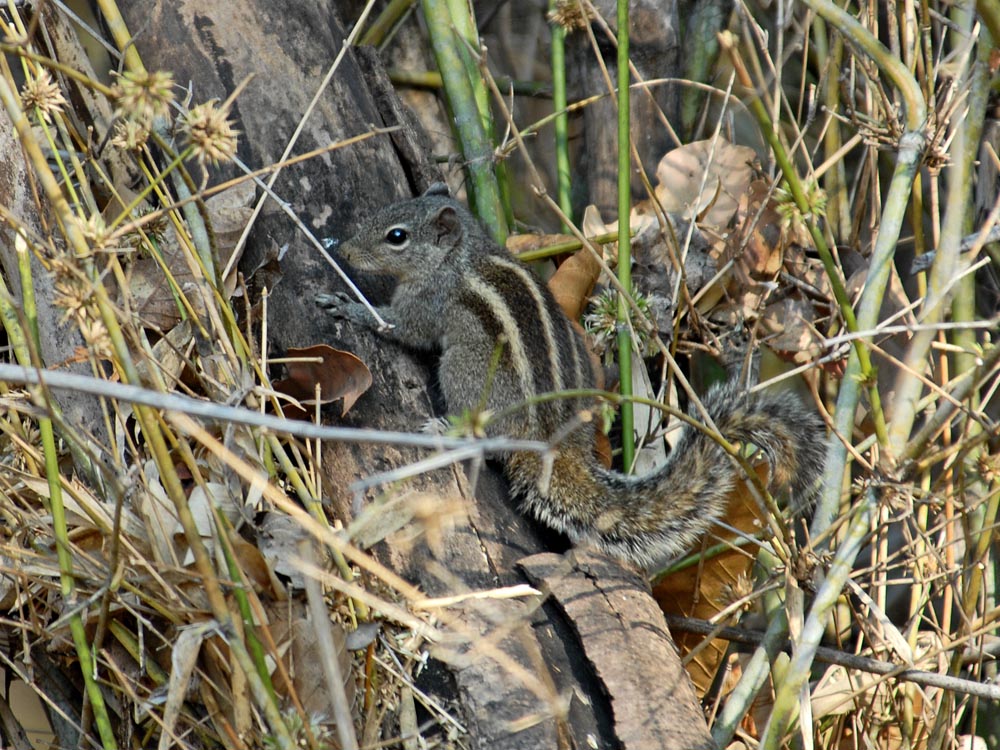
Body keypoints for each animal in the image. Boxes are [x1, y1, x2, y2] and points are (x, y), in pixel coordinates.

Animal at [316, 185, 824, 568]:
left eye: (396, 236)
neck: (461, 256)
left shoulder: (427, 303)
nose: (345, 249)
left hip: (463, 371)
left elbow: (400, 327)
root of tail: (552, 441)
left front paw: (349, 307)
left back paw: (448, 428)